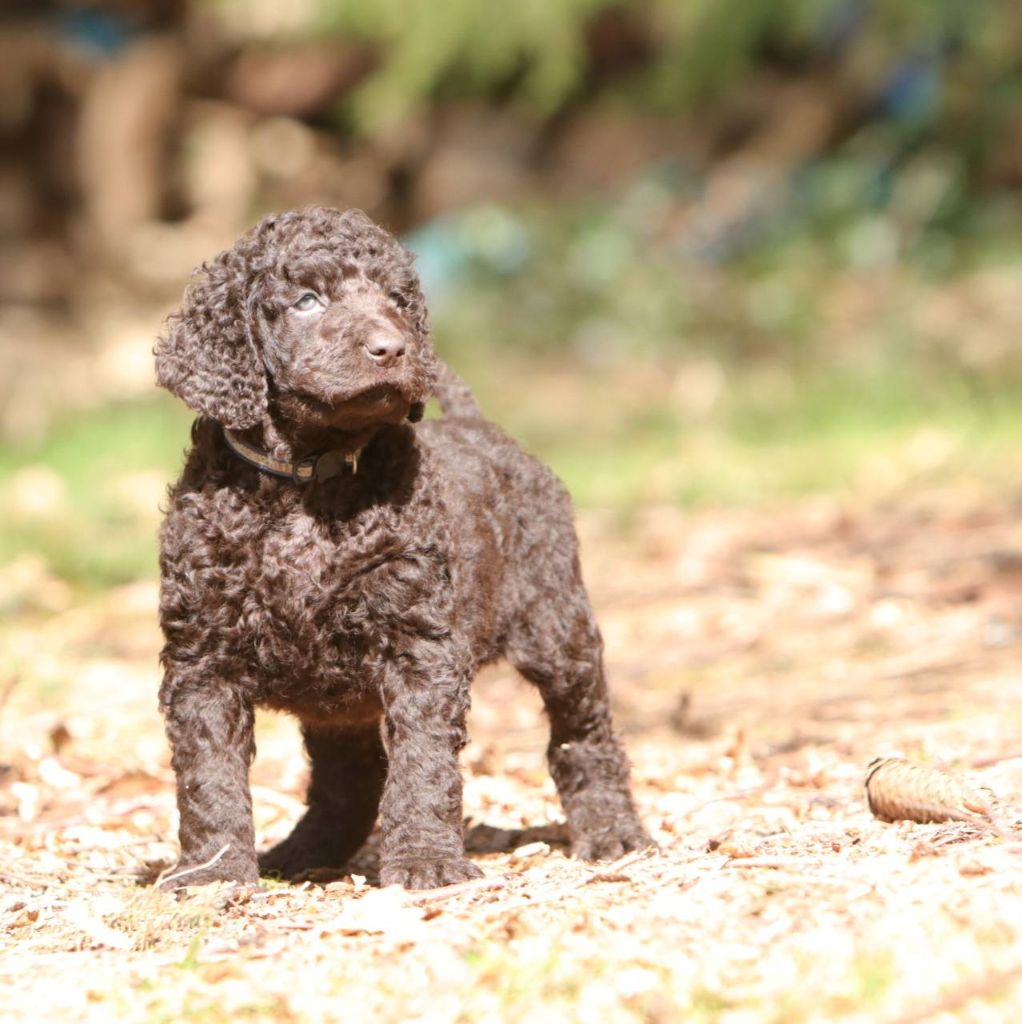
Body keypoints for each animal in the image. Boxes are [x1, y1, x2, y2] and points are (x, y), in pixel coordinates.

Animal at [153, 205, 647, 888]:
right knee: (349, 781)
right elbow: (208, 777)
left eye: (397, 300)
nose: (394, 348)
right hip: (336, 701)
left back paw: (612, 831)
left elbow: (423, 766)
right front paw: (213, 871)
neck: (308, 486)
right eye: (307, 301)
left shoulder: (419, 646)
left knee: (585, 734)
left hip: (559, 627)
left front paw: (425, 861)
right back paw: (304, 854)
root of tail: (476, 425)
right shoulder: (203, 658)